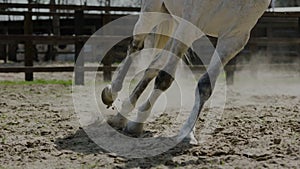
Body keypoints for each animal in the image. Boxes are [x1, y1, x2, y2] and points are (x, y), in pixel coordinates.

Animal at [101, 0, 272, 145]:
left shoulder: (233, 39)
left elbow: (205, 86)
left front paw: (187, 132)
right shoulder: (189, 25)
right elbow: (165, 79)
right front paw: (138, 121)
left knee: (154, 65)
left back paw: (123, 114)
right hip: (153, 11)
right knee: (136, 46)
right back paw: (112, 95)